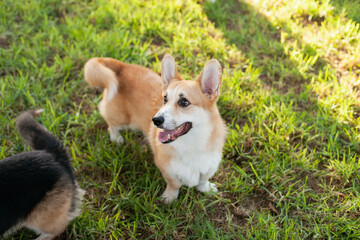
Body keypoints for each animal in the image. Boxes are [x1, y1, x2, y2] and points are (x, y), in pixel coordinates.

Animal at [84, 54, 225, 202]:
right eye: (165, 99)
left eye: (184, 102)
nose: (155, 120)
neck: (192, 143)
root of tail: (123, 66)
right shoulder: (167, 169)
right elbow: (174, 184)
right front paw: (169, 198)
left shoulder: (210, 165)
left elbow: (203, 179)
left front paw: (207, 189)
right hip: (122, 119)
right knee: (111, 124)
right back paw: (116, 138)